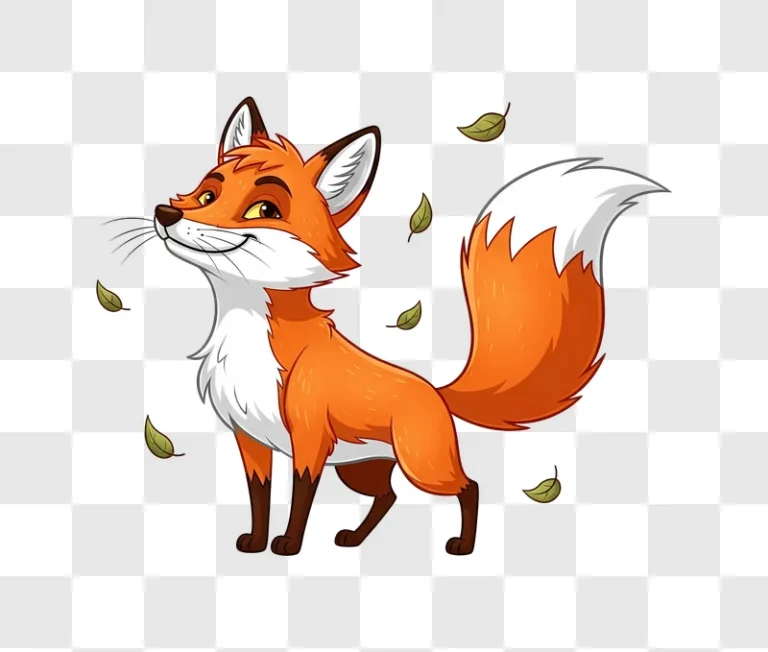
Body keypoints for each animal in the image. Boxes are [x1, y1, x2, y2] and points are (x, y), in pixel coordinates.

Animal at [151, 97, 668, 556]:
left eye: (265, 210)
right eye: (207, 194)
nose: (167, 213)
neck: (247, 340)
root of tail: (436, 392)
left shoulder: (309, 442)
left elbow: (299, 502)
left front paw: (288, 547)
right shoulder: (250, 441)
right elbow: (259, 500)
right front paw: (256, 543)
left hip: (422, 464)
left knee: (468, 487)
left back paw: (462, 547)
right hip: (360, 468)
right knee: (390, 495)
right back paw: (356, 539)